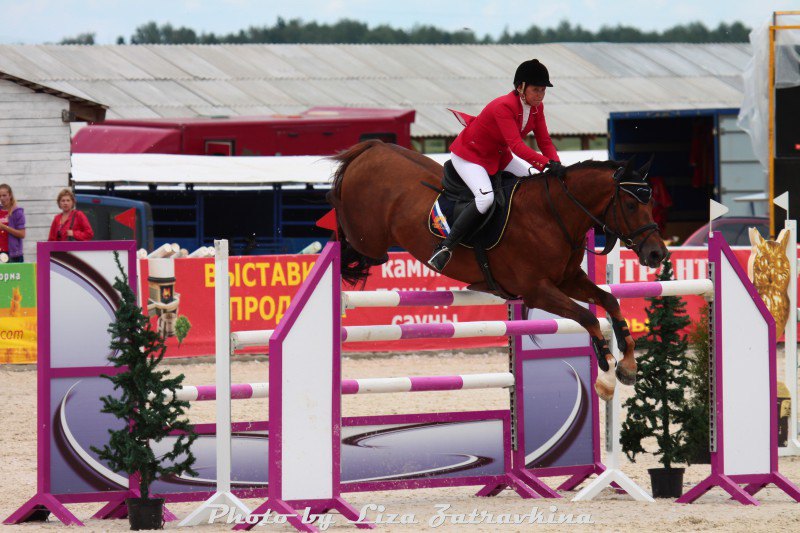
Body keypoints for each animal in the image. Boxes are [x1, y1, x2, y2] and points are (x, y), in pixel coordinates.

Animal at [326, 139, 668, 396]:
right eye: (631, 205)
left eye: (651, 203)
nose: (658, 254)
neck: (553, 214)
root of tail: (373, 148)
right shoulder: (537, 291)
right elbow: (587, 316)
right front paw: (607, 374)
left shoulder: (568, 280)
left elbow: (609, 301)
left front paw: (628, 364)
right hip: (368, 240)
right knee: (346, 242)